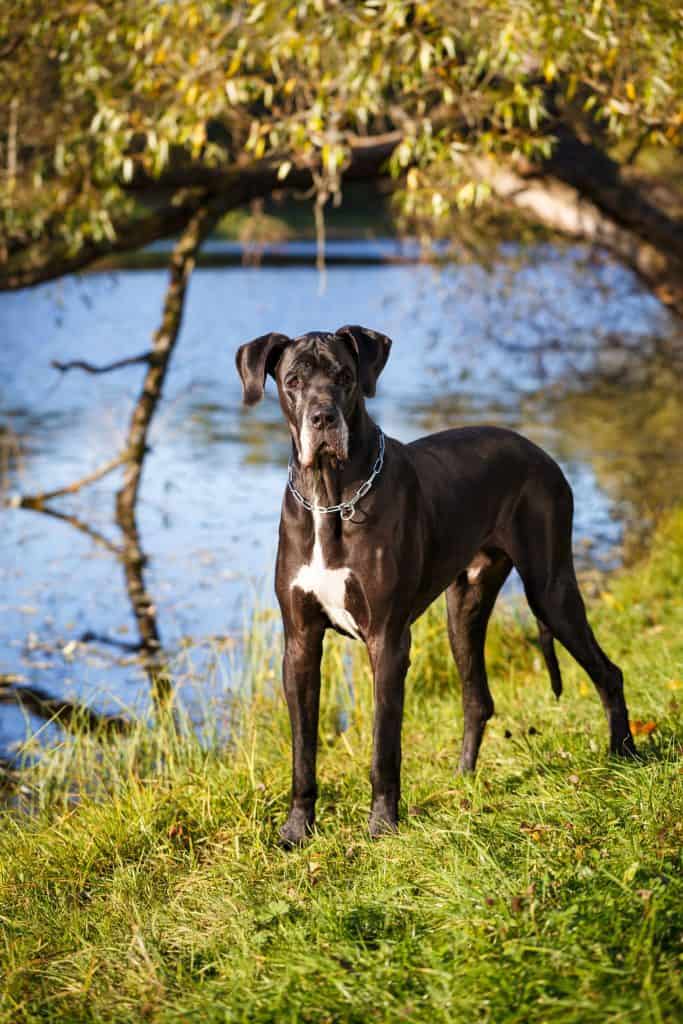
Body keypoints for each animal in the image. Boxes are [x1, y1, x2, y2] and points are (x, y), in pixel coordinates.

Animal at [236, 325, 634, 839]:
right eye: (294, 380)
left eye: (344, 377)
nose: (322, 418)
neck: (330, 497)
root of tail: (537, 450)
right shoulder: (301, 643)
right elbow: (302, 750)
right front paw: (296, 830)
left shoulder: (387, 641)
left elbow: (384, 747)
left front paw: (382, 826)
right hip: (463, 608)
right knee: (477, 699)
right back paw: (463, 780)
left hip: (551, 590)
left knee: (608, 672)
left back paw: (624, 753)